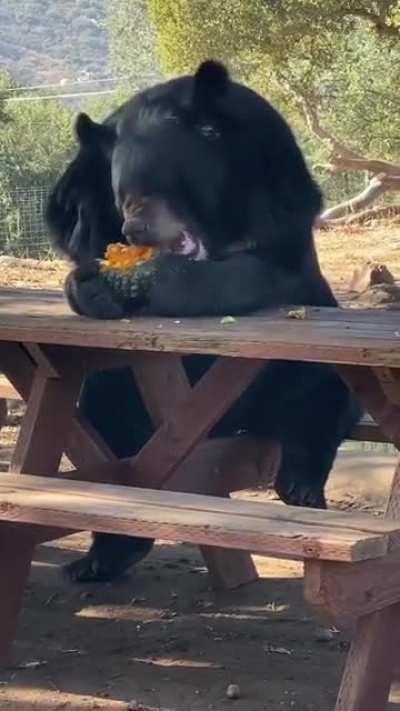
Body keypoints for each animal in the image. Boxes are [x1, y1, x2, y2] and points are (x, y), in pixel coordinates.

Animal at [46, 61, 360, 583]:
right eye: (122, 196)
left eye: (158, 189)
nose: (135, 228)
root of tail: (227, 425)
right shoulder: (85, 188)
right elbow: (74, 228)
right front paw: (96, 283)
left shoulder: (273, 184)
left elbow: (258, 268)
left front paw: (155, 280)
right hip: (124, 390)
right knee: (106, 418)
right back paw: (101, 556)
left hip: (287, 374)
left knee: (322, 392)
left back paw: (301, 482)